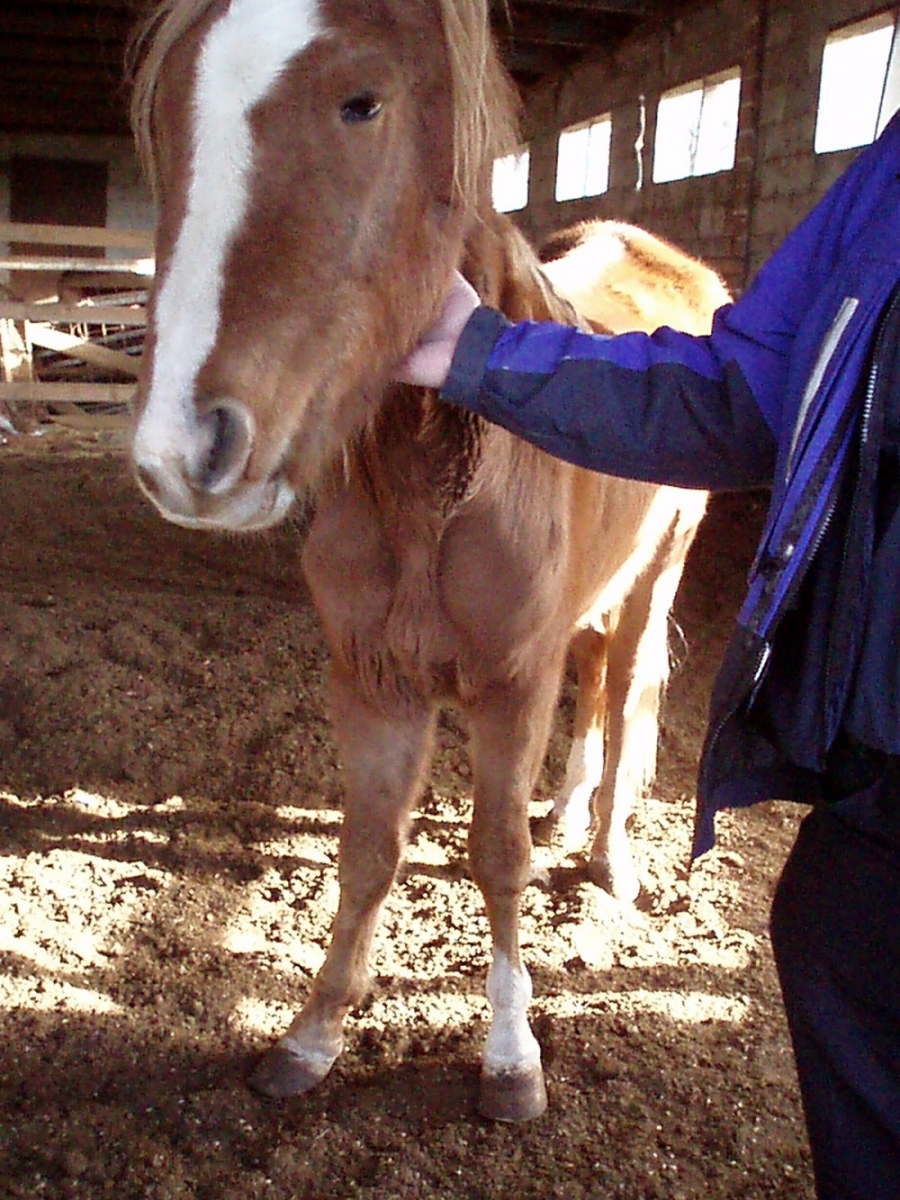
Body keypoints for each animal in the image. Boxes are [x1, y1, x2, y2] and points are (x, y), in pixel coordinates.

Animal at [127, 0, 729, 1121]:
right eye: (172, 114)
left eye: (362, 102)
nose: (181, 453)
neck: (434, 488)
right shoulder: (372, 681)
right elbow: (368, 854)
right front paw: (312, 1035)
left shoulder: (508, 684)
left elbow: (497, 859)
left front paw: (511, 1059)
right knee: (593, 686)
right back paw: (567, 806)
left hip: (654, 574)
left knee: (627, 691)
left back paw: (610, 858)